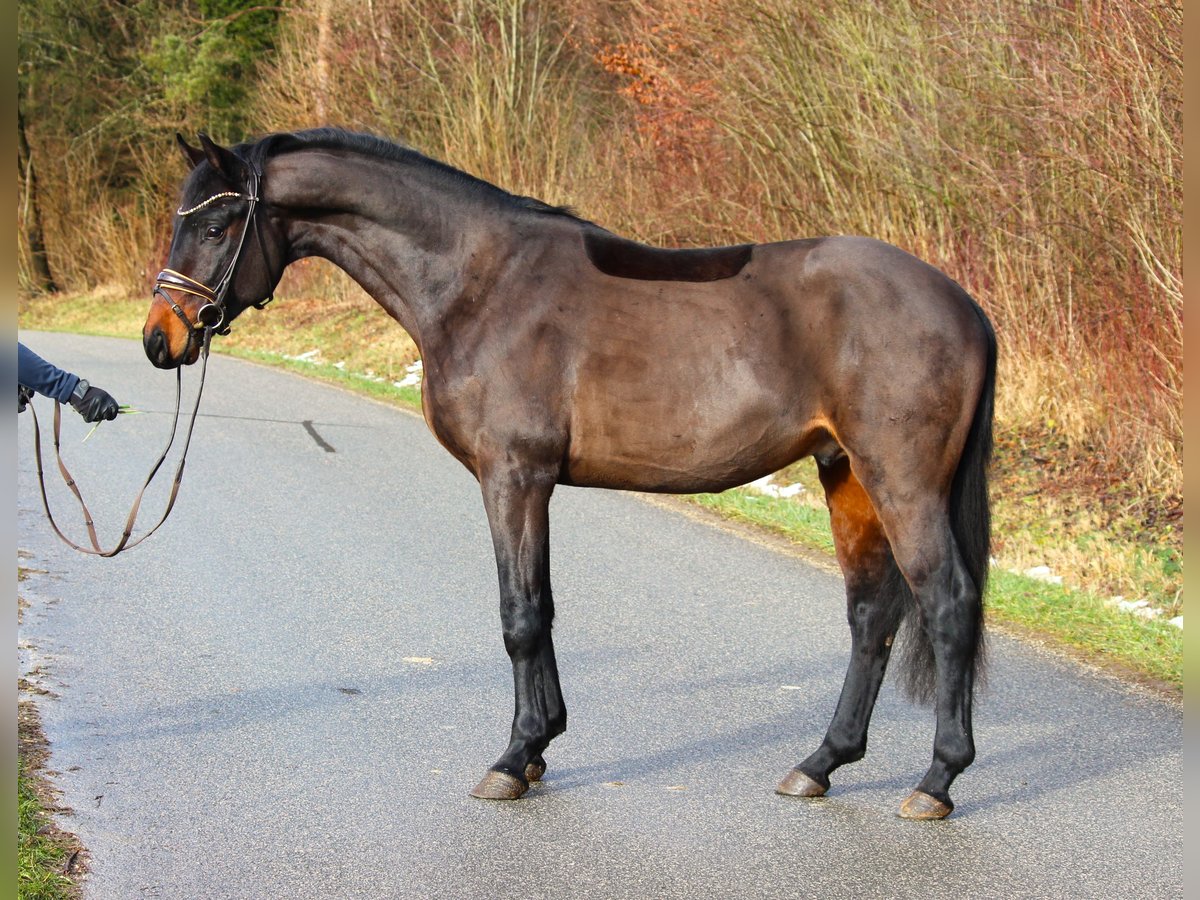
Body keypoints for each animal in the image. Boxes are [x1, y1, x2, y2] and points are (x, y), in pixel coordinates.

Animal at [145, 130, 998, 820]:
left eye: (216, 225)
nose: (161, 339)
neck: (481, 283)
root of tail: (963, 307)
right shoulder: (532, 484)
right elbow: (544, 609)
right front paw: (539, 747)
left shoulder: (511, 476)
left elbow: (519, 616)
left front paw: (511, 758)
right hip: (845, 474)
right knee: (872, 616)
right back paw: (820, 764)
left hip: (902, 482)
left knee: (947, 605)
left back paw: (936, 781)